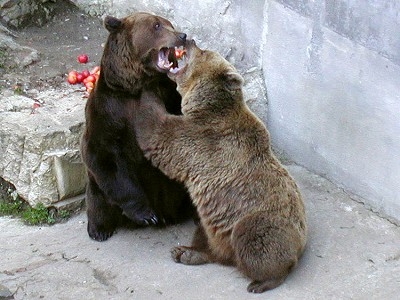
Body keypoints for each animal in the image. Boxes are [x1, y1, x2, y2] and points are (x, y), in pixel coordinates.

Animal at [79, 12, 192, 241]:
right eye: (157, 25)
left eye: (169, 24)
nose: (182, 35)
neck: (137, 86)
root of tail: (171, 214)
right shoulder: (108, 111)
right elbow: (105, 156)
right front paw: (147, 214)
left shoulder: (171, 97)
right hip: (97, 187)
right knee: (97, 199)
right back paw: (99, 229)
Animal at [134, 39, 306, 292]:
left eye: (204, 51)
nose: (189, 39)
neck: (205, 106)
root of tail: (302, 242)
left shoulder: (203, 141)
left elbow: (160, 135)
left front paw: (145, 91)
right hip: (213, 225)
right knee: (206, 235)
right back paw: (186, 252)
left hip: (261, 221)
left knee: (254, 238)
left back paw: (262, 281)